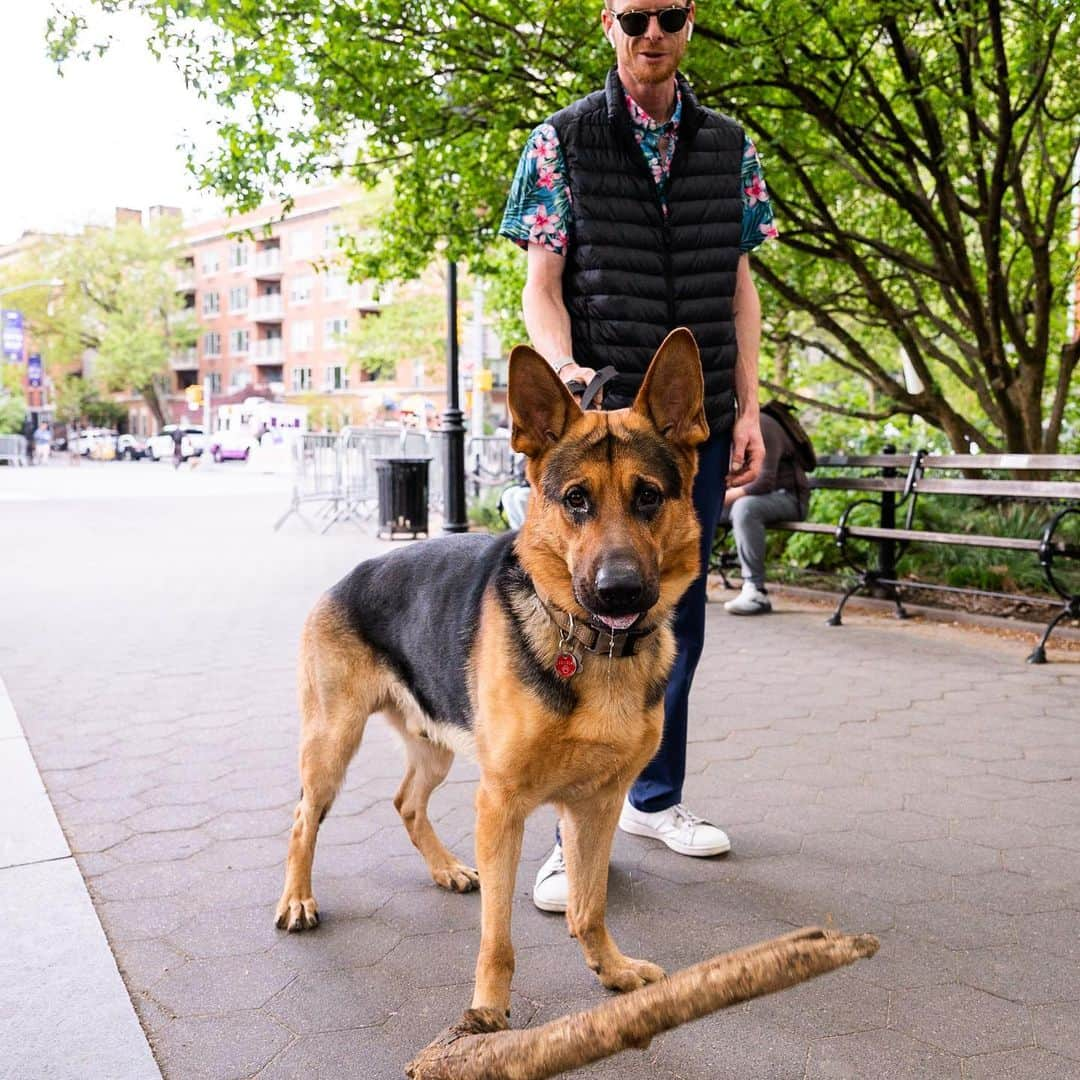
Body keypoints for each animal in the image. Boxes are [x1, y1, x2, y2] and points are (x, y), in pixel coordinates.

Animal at [276, 324, 708, 1015]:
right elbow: (498, 937)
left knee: (407, 802)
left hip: (434, 747)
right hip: (331, 745)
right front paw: (486, 1014)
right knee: (302, 821)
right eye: (576, 500)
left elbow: (590, 906)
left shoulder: (596, 806)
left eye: (648, 497)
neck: (590, 646)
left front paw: (611, 971)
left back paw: (445, 868)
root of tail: (348, 577)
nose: (618, 592)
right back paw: (297, 900)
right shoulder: (501, 805)